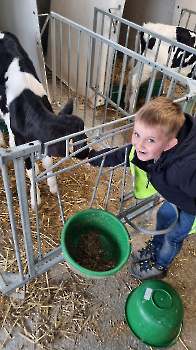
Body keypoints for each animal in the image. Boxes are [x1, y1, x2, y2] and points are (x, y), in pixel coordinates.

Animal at [0, 31, 89, 208]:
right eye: (74, 140)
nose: (88, 152)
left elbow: (47, 164)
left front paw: (53, 186)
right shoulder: (22, 144)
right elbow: (31, 170)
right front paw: (35, 199)